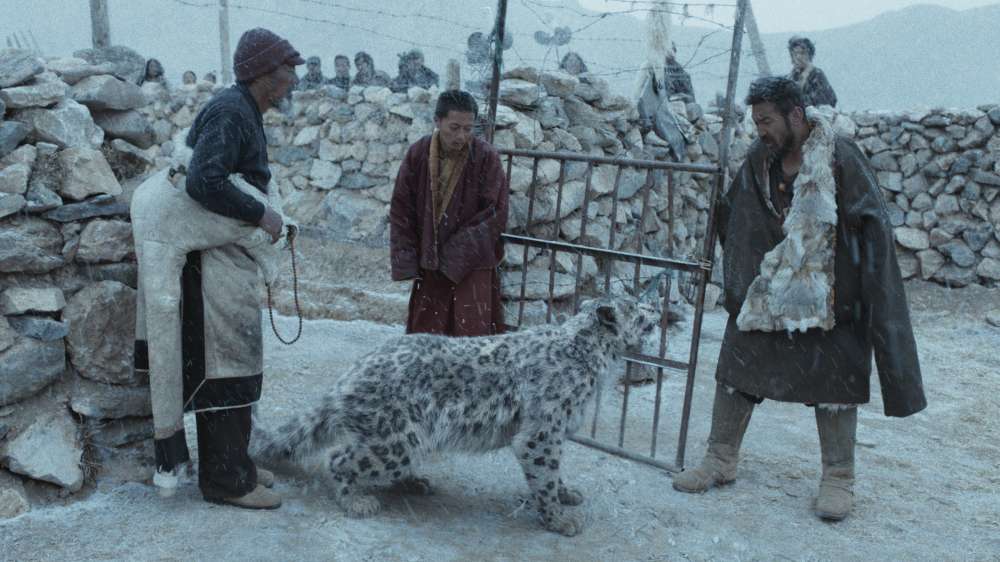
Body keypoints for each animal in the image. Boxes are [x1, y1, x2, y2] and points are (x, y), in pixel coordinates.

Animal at [252, 295, 660, 536]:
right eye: (635, 305)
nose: (656, 309)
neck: (595, 359)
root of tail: (348, 375)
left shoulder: (557, 433)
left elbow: (555, 472)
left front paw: (567, 493)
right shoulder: (542, 432)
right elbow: (544, 474)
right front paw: (560, 519)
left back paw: (415, 482)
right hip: (394, 443)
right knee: (339, 458)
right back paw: (357, 501)